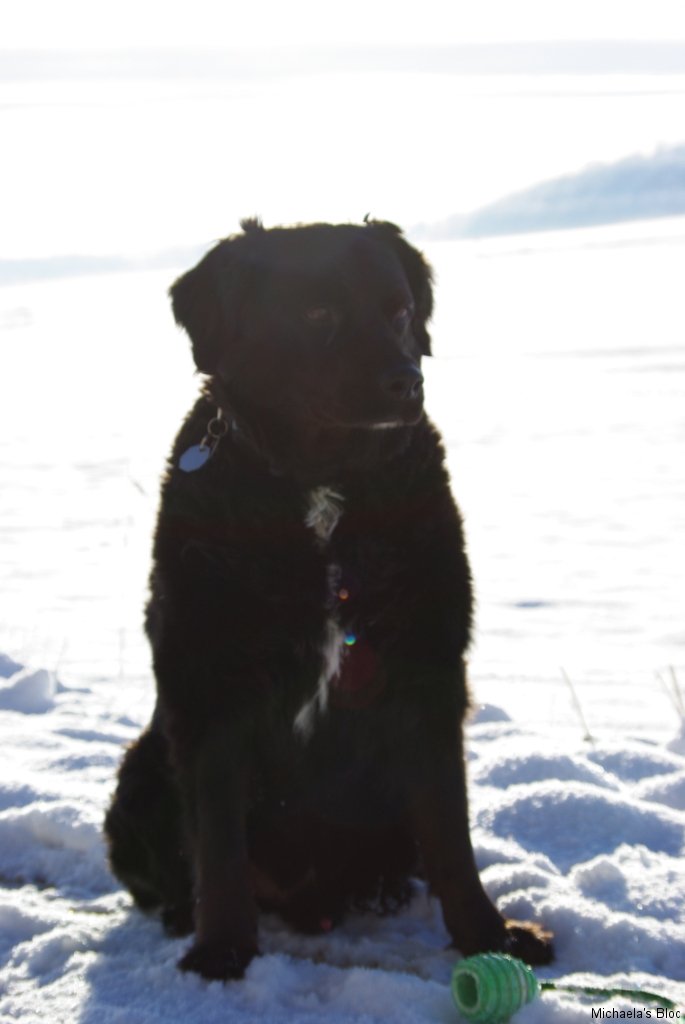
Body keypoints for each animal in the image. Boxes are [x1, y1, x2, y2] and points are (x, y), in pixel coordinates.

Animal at [104, 218, 553, 980]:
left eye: (398, 311)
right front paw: (222, 953)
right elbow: (218, 843)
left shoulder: (428, 672)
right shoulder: (209, 687)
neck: (322, 482)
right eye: (317, 315)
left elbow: (451, 832)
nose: (407, 382)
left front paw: (490, 937)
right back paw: (183, 917)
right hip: (141, 769)